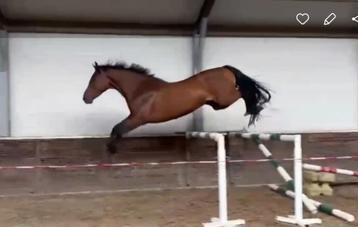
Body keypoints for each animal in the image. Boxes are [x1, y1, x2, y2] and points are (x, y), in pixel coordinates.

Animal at [82, 61, 270, 153]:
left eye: (93, 80)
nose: (85, 98)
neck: (142, 89)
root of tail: (225, 69)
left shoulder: (137, 119)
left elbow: (117, 129)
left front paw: (111, 149)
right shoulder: (135, 118)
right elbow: (117, 129)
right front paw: (111, 148)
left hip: (224, 99)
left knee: (245, 92)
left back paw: (255, 108)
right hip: (217, 104)